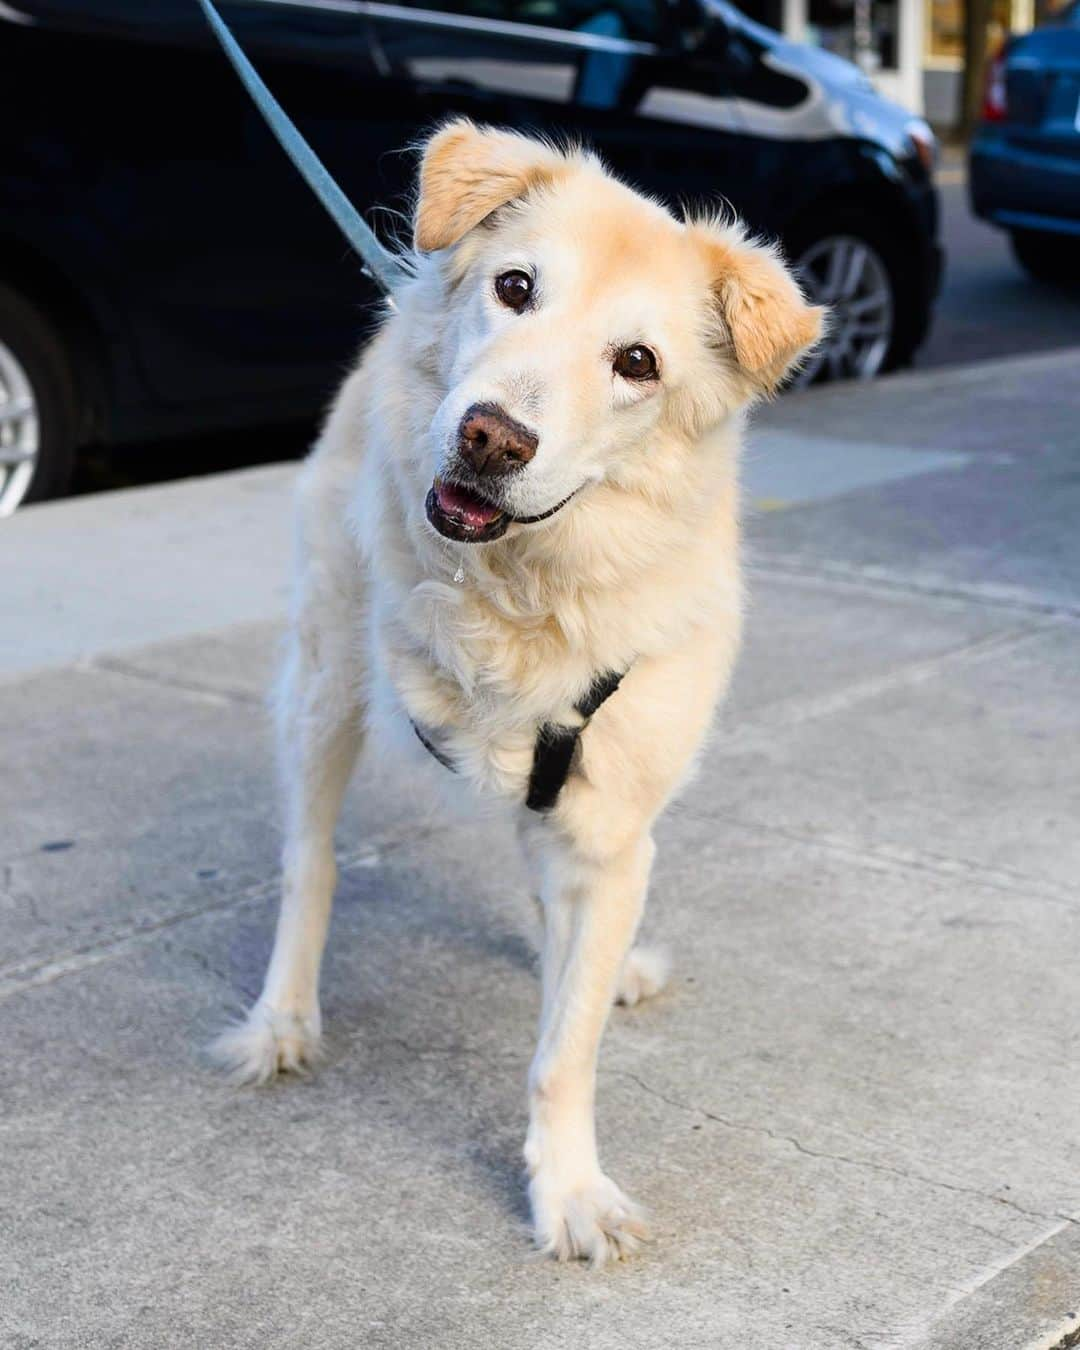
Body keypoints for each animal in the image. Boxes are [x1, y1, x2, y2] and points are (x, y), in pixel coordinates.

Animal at [210, 118, 820, 1263]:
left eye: (637, 363)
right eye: (516, 286)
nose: (491, 437)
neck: (532, 588)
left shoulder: (607, 833)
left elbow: (562, 1049)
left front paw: (567, 1186)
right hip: (322, 683)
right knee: (309, 862)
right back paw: (282, 1019)